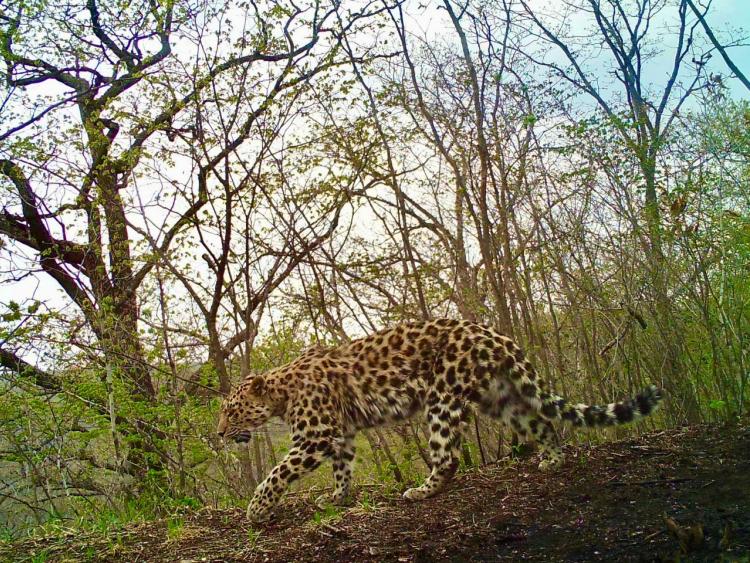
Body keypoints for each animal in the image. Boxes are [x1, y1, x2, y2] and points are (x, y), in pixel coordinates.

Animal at [219, 320, 664, 524]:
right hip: (499, 398)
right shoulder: (340, 434)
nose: (220, 433)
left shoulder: (315, 437)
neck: (281, 391)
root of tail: (492, 333)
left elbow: (277, 472)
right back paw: (552, 461)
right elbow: (343, 468)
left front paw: (256, 510)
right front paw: (338, 498)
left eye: (232, 410)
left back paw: (422, 491)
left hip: (443, 397)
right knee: (542, 424)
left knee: (447, 455)